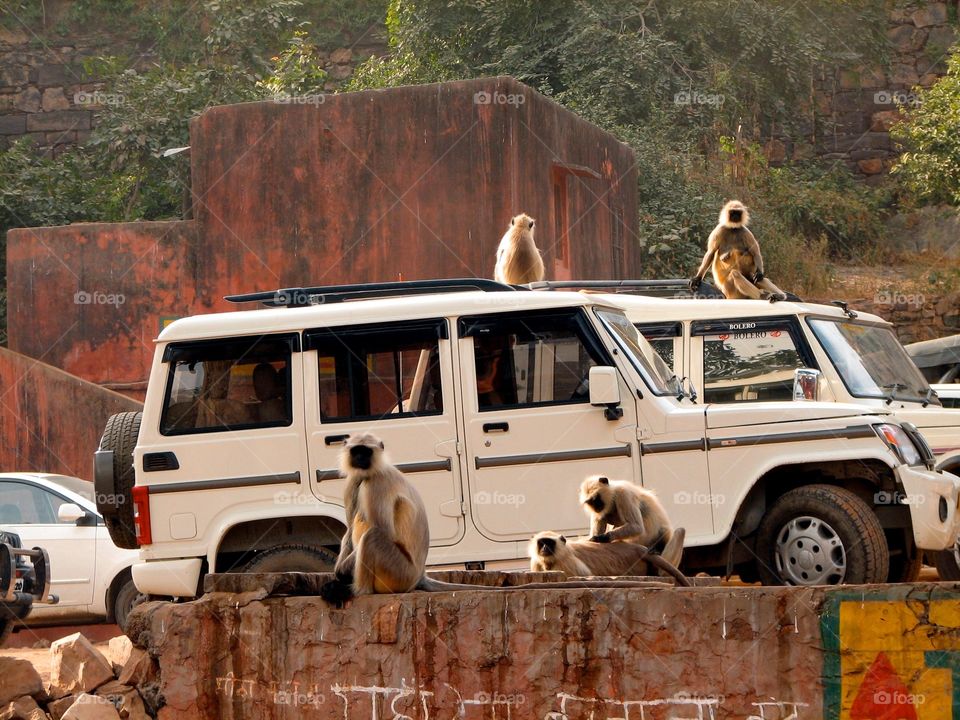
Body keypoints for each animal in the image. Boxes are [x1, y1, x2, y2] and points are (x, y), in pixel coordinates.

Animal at [319, 434, 683, 607]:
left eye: (367, 450)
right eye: (356, 450)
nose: (360, 457)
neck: (370, 472)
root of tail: (419, 575)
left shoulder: (375, 482)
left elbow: (377, 528)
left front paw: (341, 576)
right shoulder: (355, 481)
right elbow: (348, 530)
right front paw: (337, 571)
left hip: (398, 573)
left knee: (372, 537)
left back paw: (358, 591)